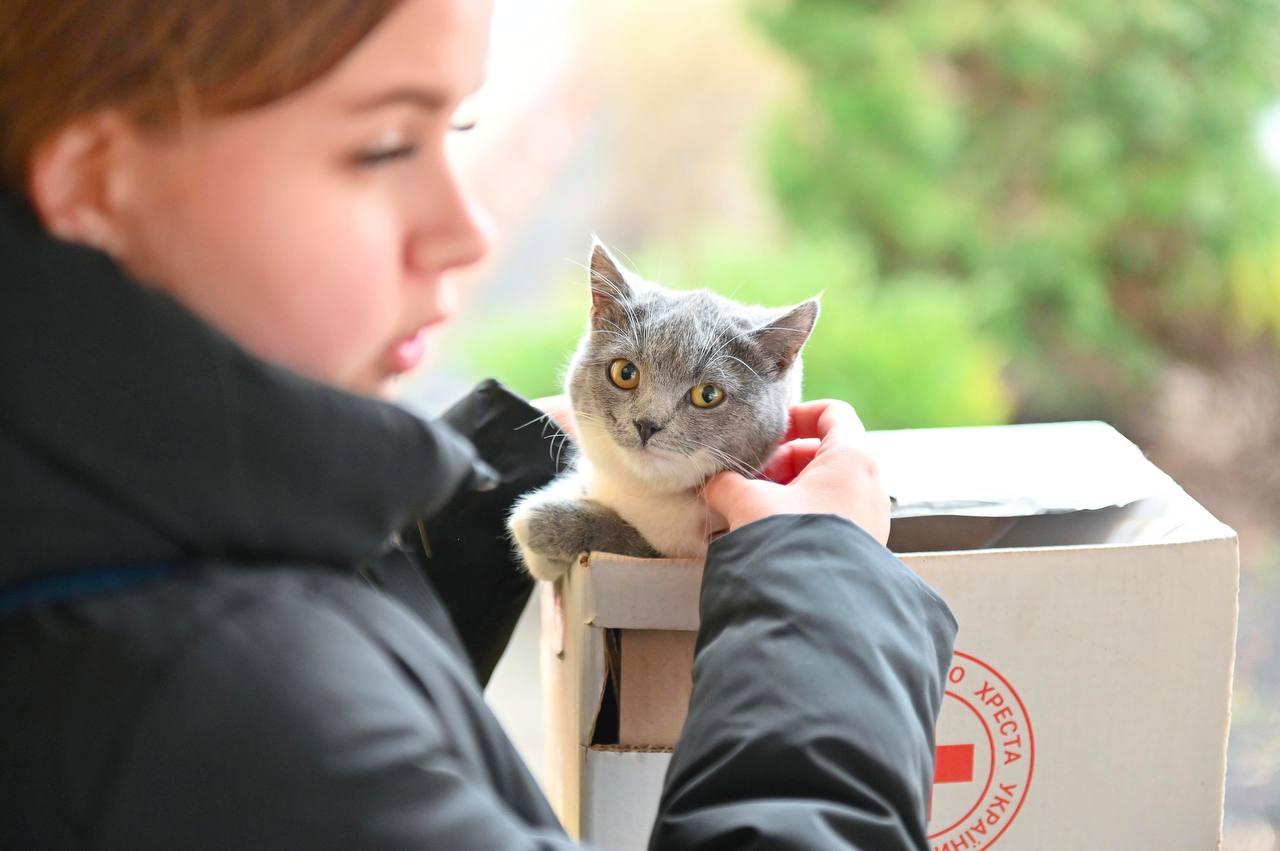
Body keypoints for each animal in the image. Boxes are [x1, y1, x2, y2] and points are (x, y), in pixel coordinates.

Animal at [504, 239, 814, 583]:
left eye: (708, 395)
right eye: (624, 373)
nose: (647, 424)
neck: (646, 493)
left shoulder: (684, 560)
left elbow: (636, 541)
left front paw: (542, 520)